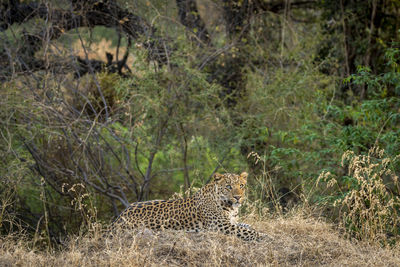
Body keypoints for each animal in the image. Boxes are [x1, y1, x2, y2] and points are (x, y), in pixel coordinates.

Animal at [112, 173, 268, 242]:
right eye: (229, 186)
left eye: (241, 186)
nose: (238, 197)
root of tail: (118, 218)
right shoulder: (221, 226)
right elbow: (247, 232)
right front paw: (265, 236)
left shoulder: (231, 222)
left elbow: (247, 226)